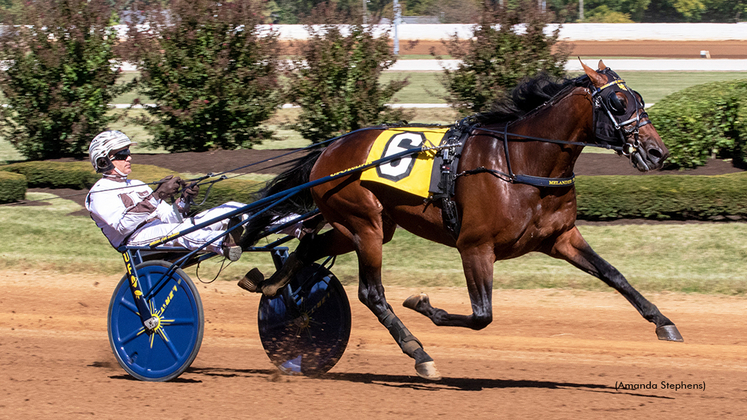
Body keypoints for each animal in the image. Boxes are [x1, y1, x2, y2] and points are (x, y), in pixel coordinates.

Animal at [244, 60, 684, 380]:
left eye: (639, 99)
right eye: (618, 104)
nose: (657, 152)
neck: (521, 162)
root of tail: (329, 150)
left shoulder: (561, 237)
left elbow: (615, 275)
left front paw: (663, 322)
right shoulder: (475, 247)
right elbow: (482, 316)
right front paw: (423, 304)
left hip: (366, 225)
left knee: (311, 245)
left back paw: (272, 286)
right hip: (363, 222)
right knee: (371, 293)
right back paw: (418, 353)